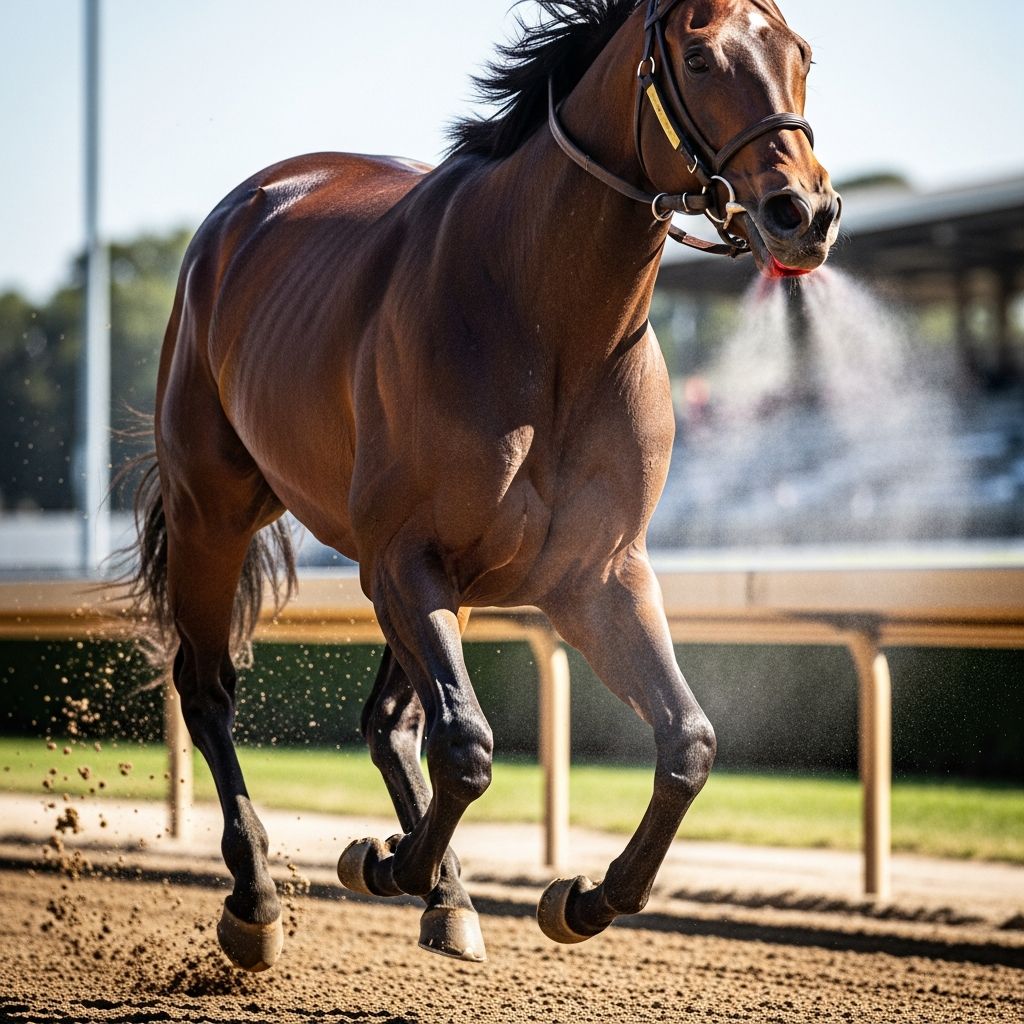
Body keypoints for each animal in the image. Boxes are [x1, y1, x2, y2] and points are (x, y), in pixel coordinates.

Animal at [126, 0, 840, 970]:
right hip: (215, 511)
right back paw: (258, 899)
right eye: (697, 58)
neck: (550, 324)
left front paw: (583, 896)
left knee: (389, 719)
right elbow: (466, 744)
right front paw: (386, 862)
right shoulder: (404, 558)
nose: (804, 210)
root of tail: (244, 211)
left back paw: (448, 896)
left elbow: (688, 742)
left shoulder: (597, 575)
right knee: (208, 690)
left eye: (801, 53)